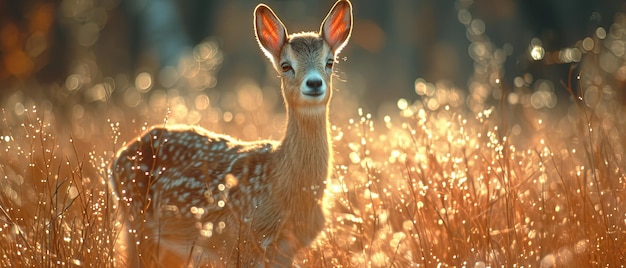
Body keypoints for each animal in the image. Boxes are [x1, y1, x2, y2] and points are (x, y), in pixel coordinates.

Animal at [108, 1, 352, 266]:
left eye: (330, 62)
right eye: (286, 66)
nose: (314, 83)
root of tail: (116, 160)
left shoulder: (285, 250)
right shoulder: (240, 241)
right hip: (137, 221)